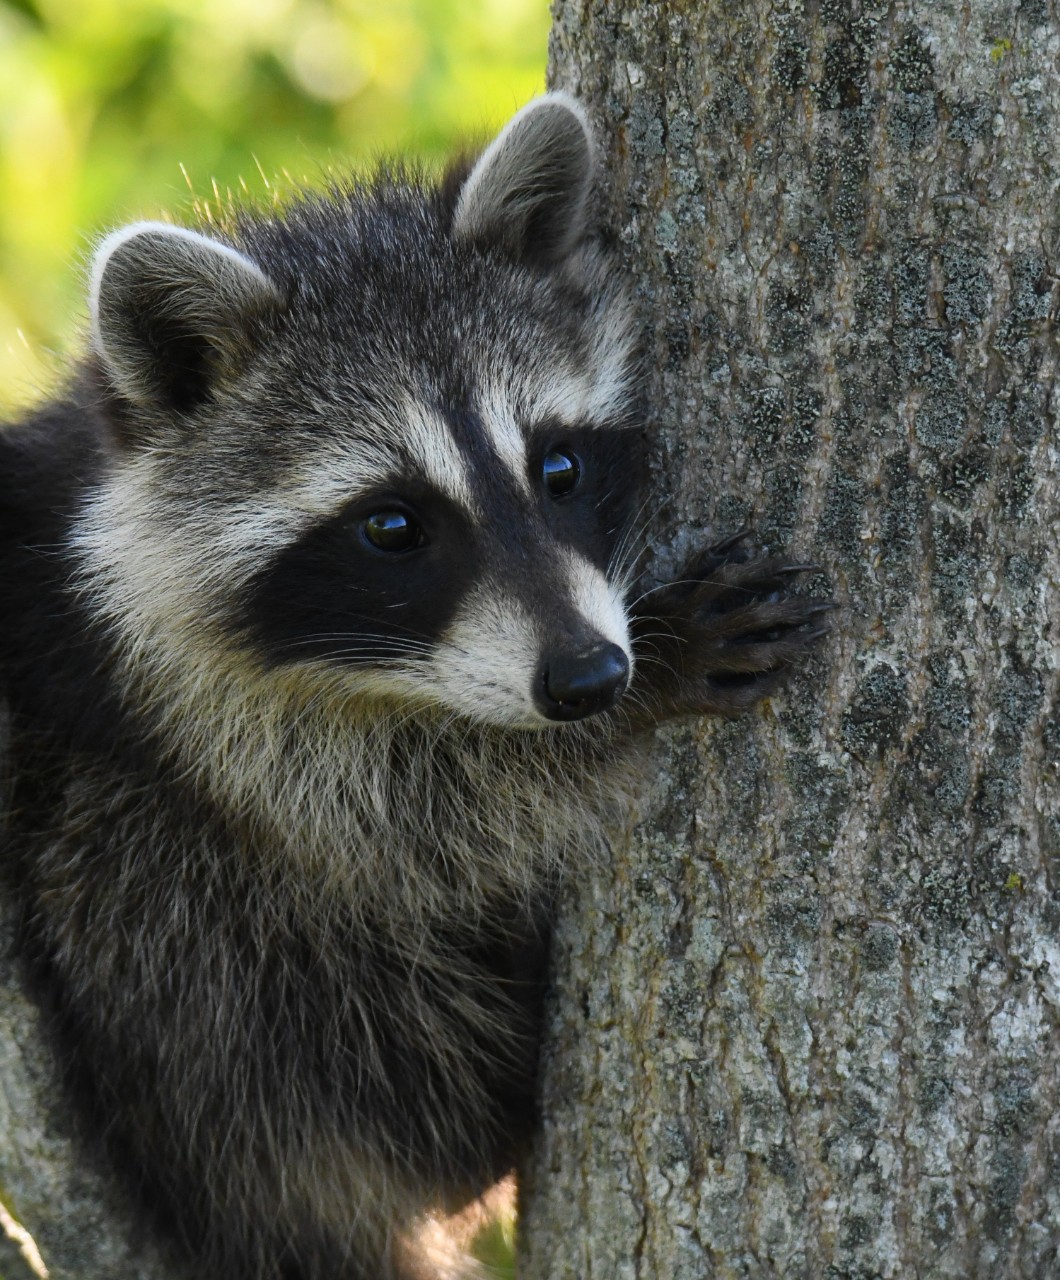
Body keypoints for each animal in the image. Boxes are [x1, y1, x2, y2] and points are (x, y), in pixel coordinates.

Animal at [0, 94, 829, 1279]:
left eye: (559, 468)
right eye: (391, 525)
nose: (591, 678)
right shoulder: (150, 688)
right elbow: (396, 811)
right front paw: (638, 692)